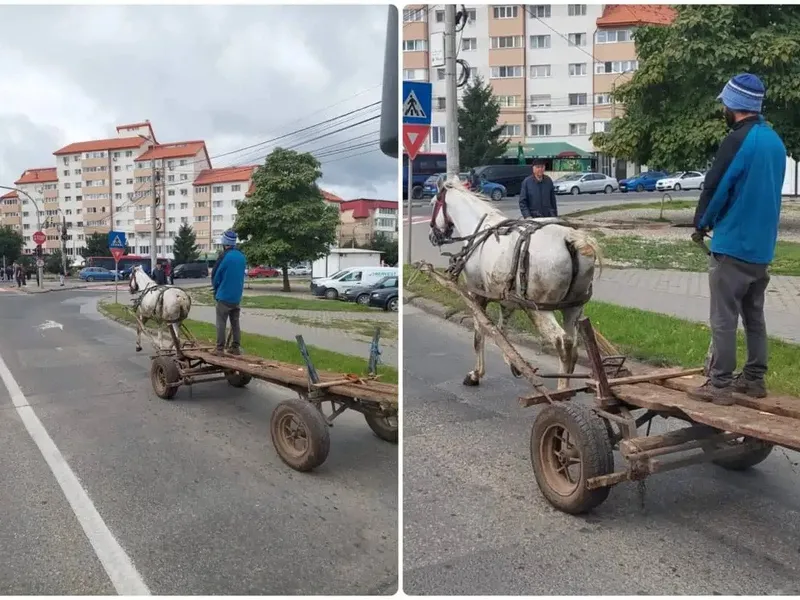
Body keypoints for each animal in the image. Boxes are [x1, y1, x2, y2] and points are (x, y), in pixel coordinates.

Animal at [428, 180, 604, 392]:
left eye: (432, 203)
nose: (431, 236)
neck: (479, 230)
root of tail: (568, 238)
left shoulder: (477, 295)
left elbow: (480, 333)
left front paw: (476, 374)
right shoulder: (506, 298)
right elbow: (501, 329)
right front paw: (513, 362)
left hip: (539, 310)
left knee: (562, 343)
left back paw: (562, 391)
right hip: (574, 308)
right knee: (574, 346)